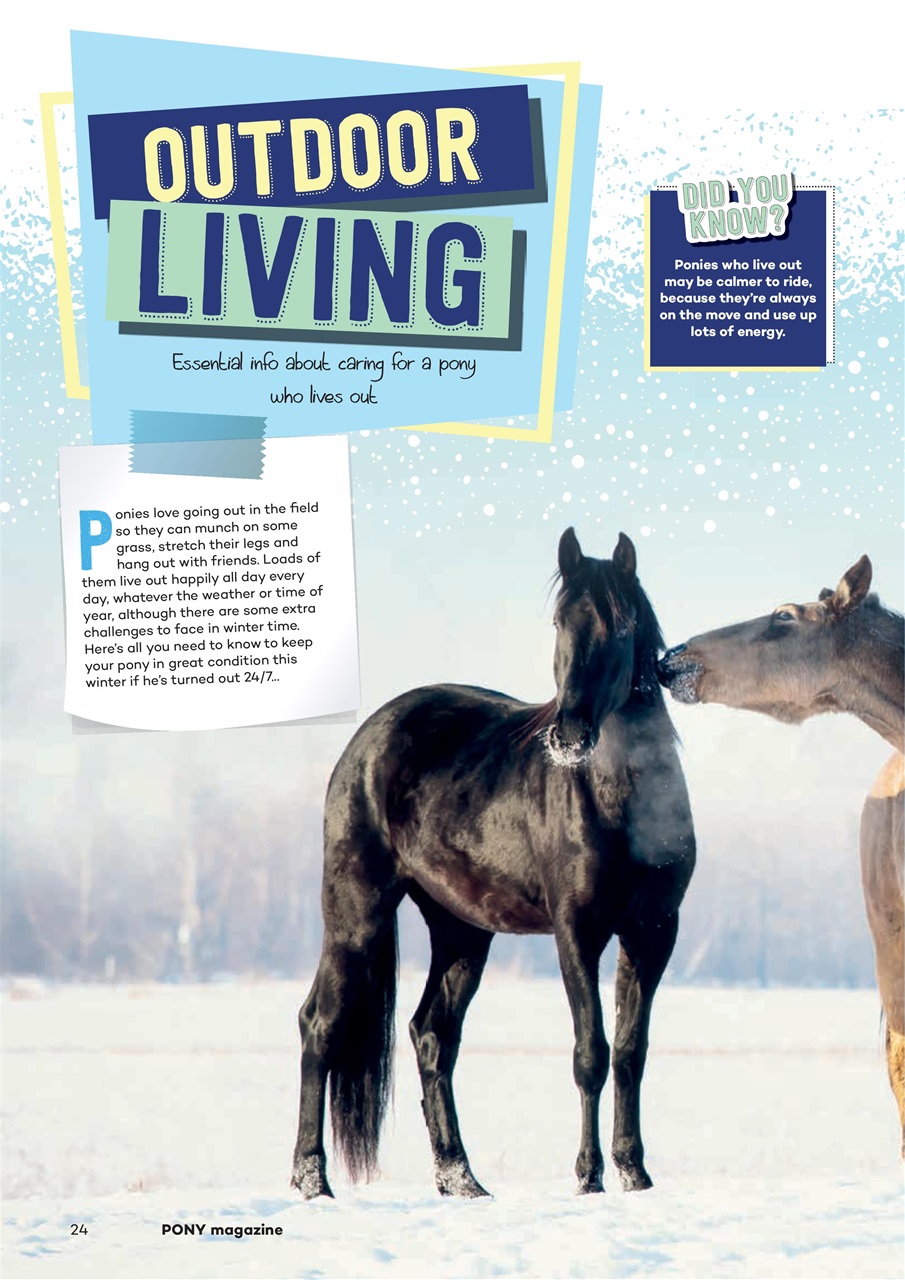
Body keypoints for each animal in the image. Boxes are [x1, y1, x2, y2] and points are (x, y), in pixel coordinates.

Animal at [291, 528, 696, 1199]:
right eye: (559, 621)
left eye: (621, 625)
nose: (570, 734)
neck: (619, 801)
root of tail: (365, 741)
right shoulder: (576, 932)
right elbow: (591, 1053)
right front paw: (588, 1177)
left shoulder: (653, 932)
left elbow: (630, 1052)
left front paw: (635, 1174)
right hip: (356, 915)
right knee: (320, 1025)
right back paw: (311, 1180)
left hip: (461, 931)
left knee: (432, 1035)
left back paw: (461, 1180)